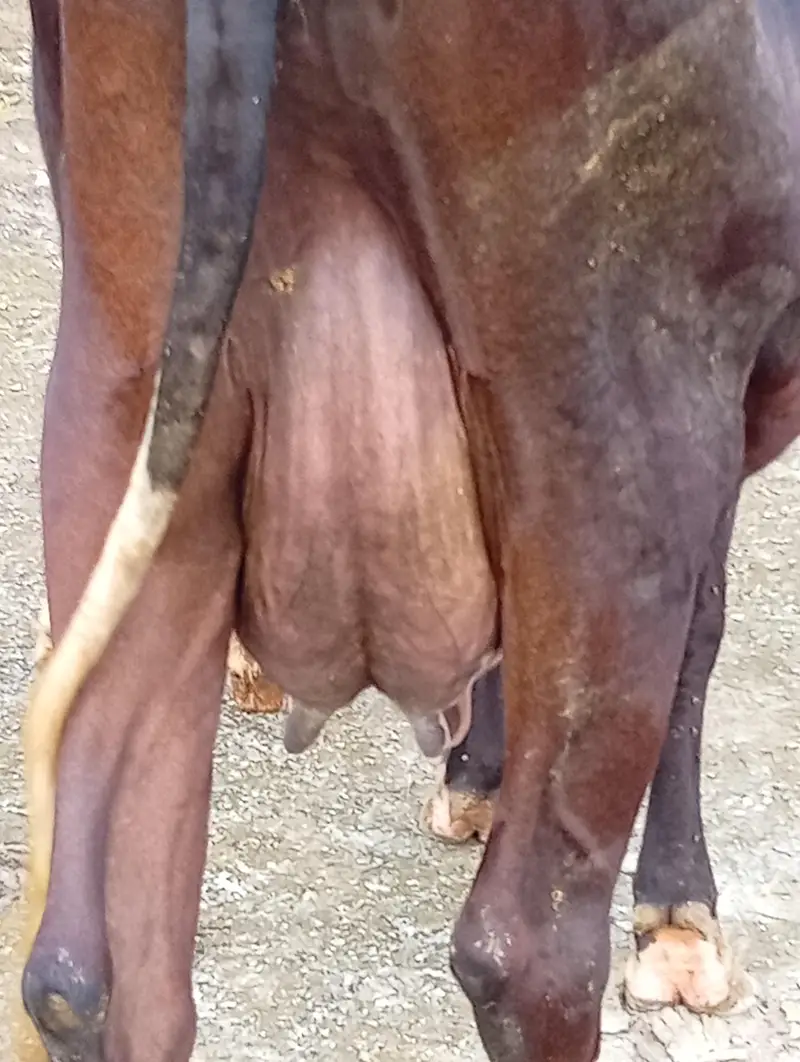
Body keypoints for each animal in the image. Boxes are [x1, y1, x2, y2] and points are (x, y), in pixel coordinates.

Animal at [16, 1, 800, 1061]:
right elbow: (703, 632)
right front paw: (679, 918)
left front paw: (476, 774)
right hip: (622, 418)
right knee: (529, 955)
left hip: (126, 372)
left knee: (92, 972)